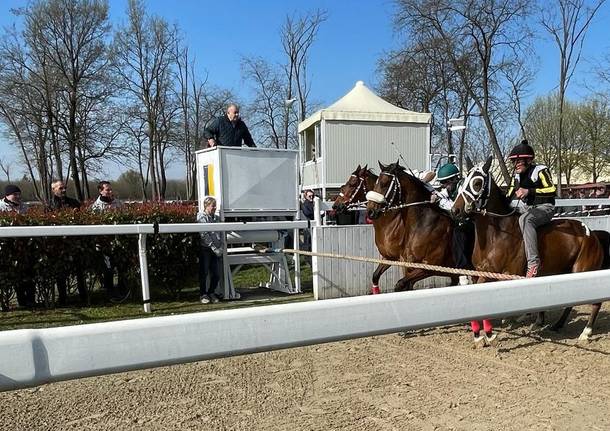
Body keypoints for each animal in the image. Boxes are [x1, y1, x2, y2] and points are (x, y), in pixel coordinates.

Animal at [360, 164, 460, 292]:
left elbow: (401, 284)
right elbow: (377, 276)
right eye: (376, 184)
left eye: (384, 183)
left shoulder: (429, 266)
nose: (370, 211)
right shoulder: (399, 261)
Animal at [448, 157, 600, 342]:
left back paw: (586, 331)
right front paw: (479, 333)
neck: (498, 234)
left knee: (595, 302)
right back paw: (556, 325)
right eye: (462, 182)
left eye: (477, 183)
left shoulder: (501, 275)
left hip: (583, 270)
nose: (455, 210)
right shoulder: (480, 272)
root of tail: (590, 233)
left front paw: (488, 333)